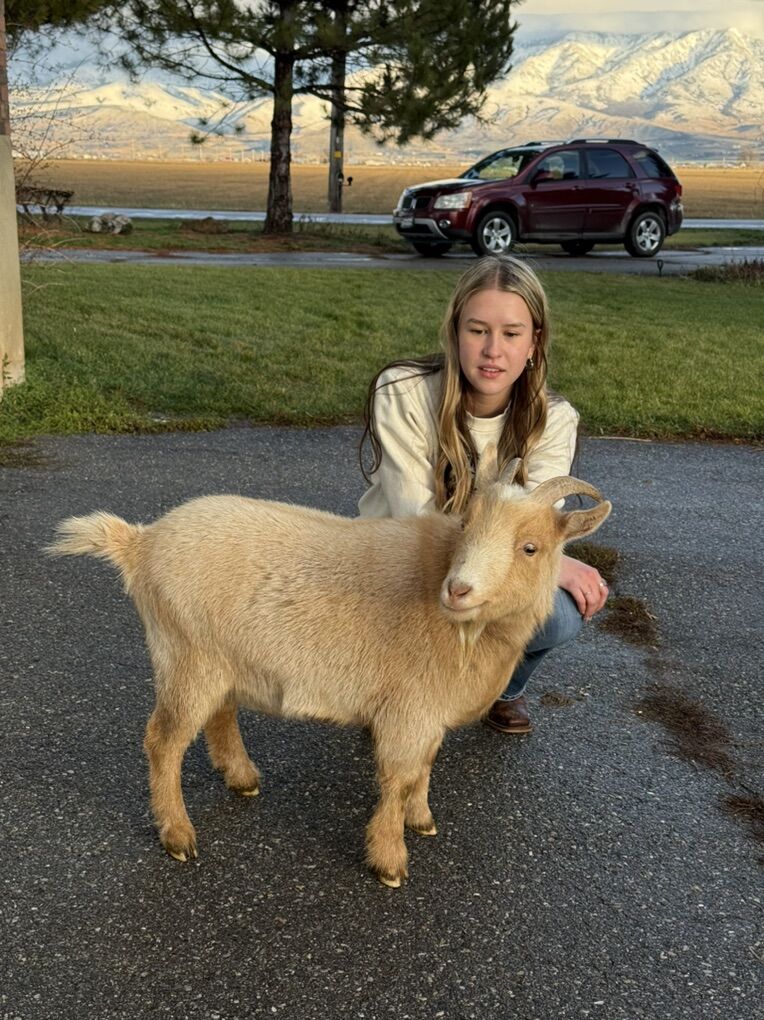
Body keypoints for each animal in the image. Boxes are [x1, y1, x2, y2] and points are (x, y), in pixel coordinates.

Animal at [48, 450, 611, 887]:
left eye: (530, 547)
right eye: (466, 526)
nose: (458, 590)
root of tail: (140, 543)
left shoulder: (428, 710)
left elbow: (425, 766)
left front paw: (422, 819)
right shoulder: (409, 708)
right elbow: (399, 775)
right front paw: (389, 860)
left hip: (218, 656)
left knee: (220, 713)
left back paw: (241, 777)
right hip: (187, 654)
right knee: (163, 741)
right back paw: (178, 835)